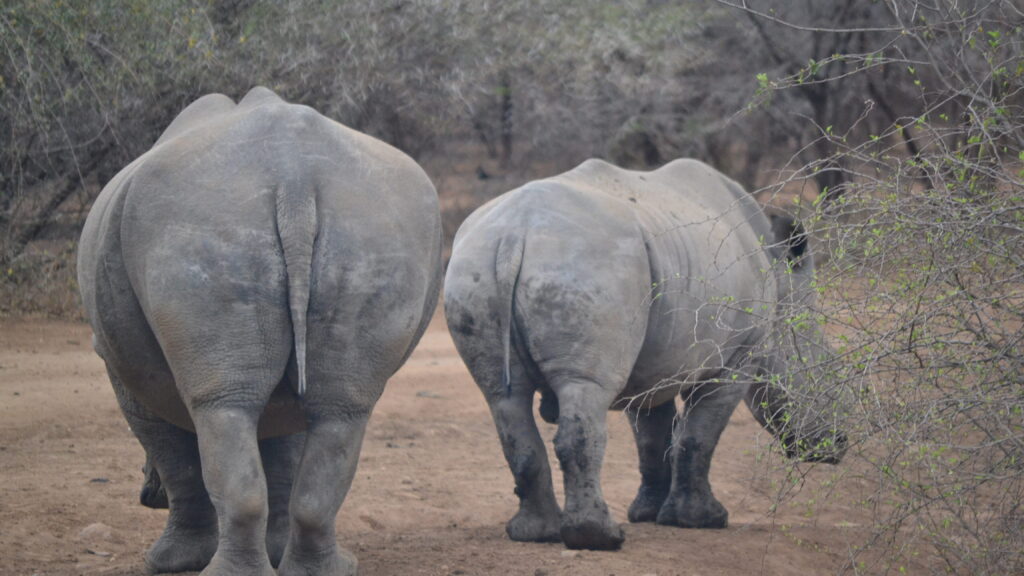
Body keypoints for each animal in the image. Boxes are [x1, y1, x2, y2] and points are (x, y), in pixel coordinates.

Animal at [77, 87, 442, 575]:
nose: (145, 496)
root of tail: (294, 178)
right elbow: (285, 453)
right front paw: (274, 549)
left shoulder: (119, 365)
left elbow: (174, 455)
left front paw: (168, 562)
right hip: (374, 231)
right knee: (339, 412)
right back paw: (329, 569)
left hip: (202, 224)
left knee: (222, 406)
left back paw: (224, 571)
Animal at [443, 159, 846, 550]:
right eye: (826, 371)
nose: (838, 443)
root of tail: (515, 234)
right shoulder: (737, 357)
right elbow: (699, 435)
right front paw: (701, 520)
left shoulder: (652, 363)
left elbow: (653, 436)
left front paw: (648, 514)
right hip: (590, 265)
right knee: (585, 388)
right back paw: (600, 539)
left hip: (474, 269)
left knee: (503, 397)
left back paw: (536, 533)